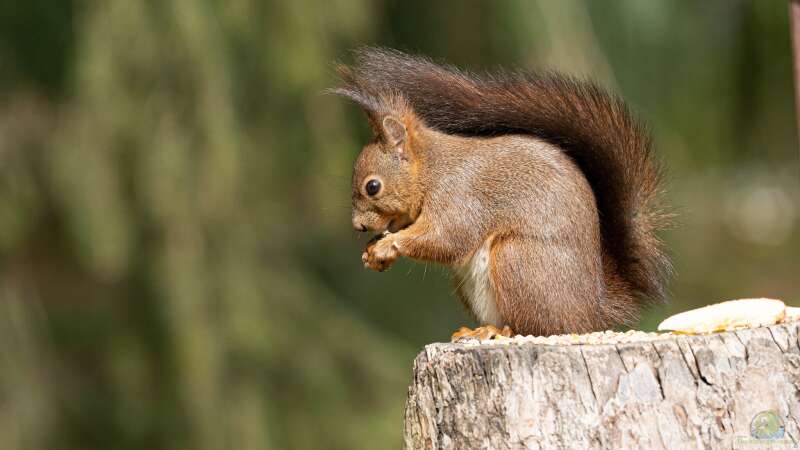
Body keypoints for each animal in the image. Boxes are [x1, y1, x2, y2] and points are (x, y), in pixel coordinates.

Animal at [328, 48, 672, 338]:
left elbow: (448, 238)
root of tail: (590, 313)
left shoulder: (459, 197)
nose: (358, 226)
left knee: (537, 327)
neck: (431, 170)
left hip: (517, 261)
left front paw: (389, 245)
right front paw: (374, 251)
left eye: (373, 187)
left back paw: (500, 331)